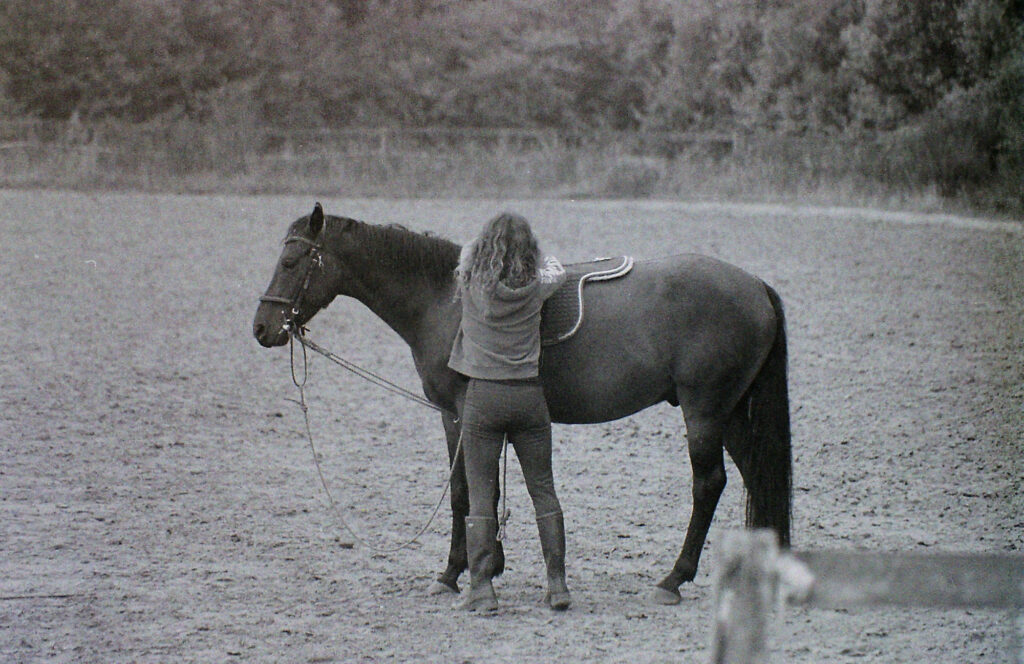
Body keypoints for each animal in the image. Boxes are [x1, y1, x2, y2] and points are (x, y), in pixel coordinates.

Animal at [252, 203, 791, 605]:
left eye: (291, 262)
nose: (262, 328)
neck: (447, 299)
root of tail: (755, 285)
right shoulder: (461, 417)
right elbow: (479, 490)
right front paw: (486, 564)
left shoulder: (460, 413)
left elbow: (467, 492)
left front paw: (456, 571)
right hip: (730, 414)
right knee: (756, 475)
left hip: (704, 412)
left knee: (710, 484)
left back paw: (673, 579)